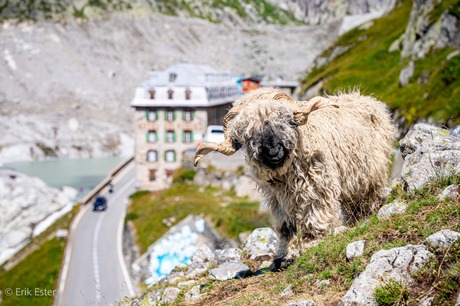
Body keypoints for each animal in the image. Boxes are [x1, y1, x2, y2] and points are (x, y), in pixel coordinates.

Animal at [194, 86, 396, 268]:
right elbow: (285, 228)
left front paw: (310, 246)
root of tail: (363, 97)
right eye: (248, 135)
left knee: (370, 197)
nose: (273, 152)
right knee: (352, 205)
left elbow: (313, 221)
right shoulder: (276, 199)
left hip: (372, 172)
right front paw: (283, 257)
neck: (287, 177)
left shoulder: (317, 189)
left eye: (287, 121)